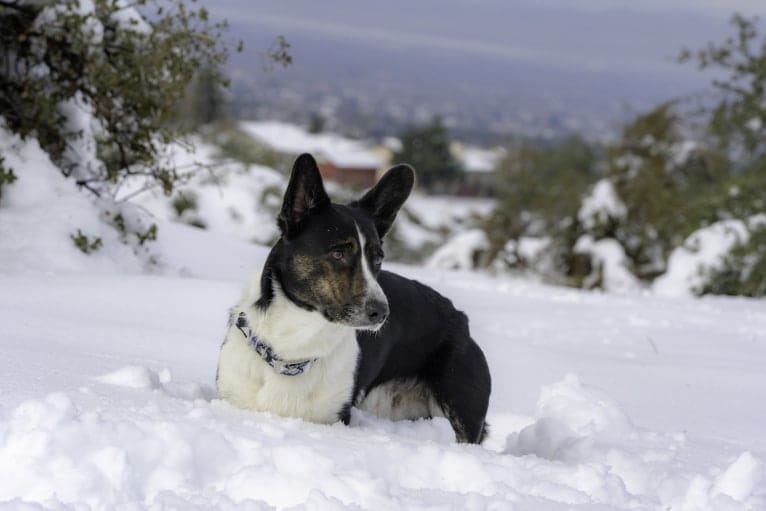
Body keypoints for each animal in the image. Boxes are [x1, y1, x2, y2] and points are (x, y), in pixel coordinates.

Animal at [216, 153, 492, 444]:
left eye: (378, 259)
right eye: (338, 253)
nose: (382, 312)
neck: (293, 345)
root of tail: (460, 318)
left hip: (460, 408)